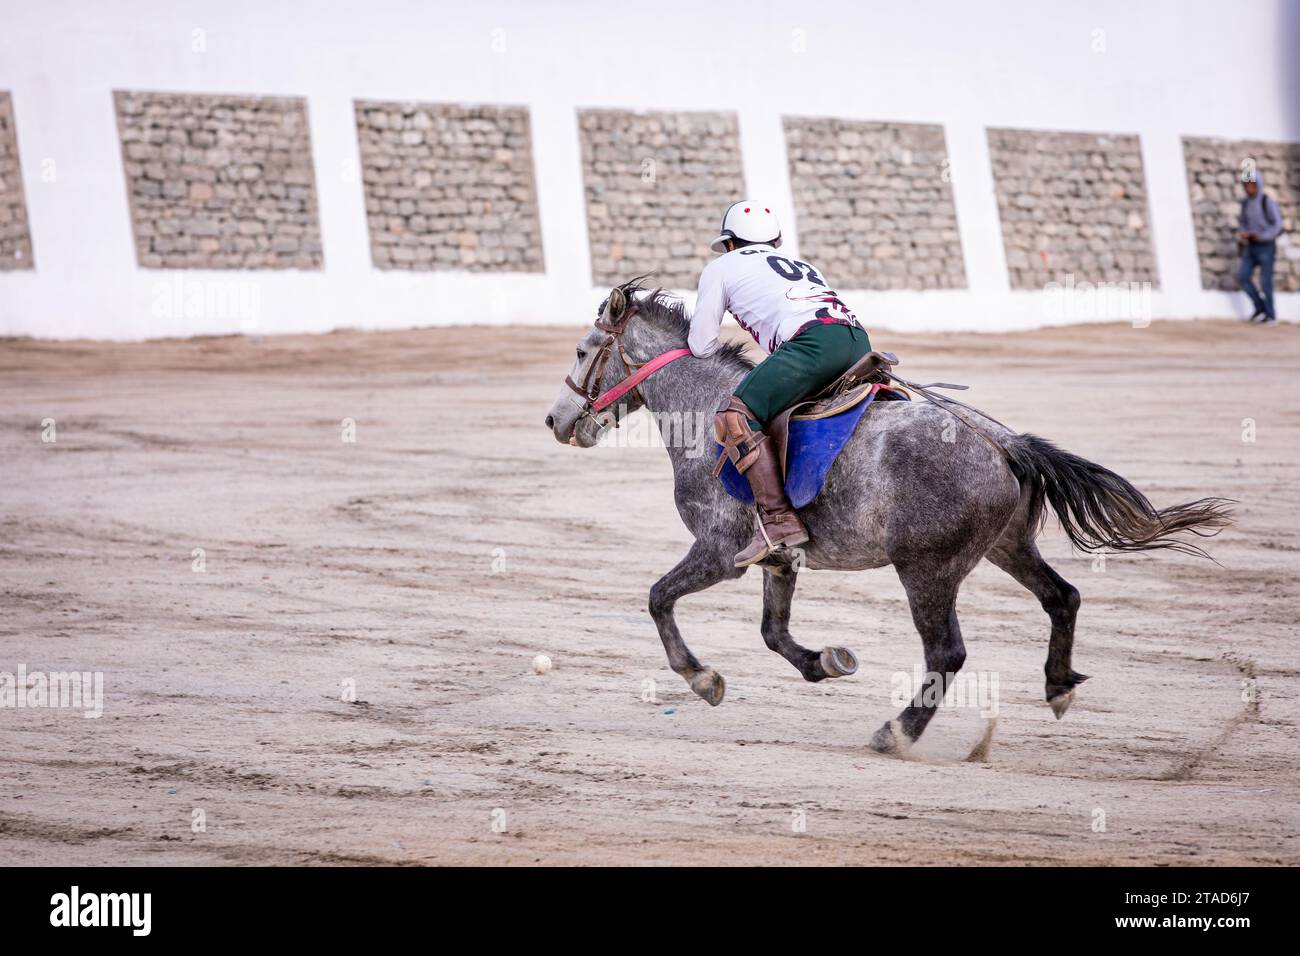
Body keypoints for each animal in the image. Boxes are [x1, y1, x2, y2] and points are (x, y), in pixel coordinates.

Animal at [543, 280, 1232, 759]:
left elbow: (659, 599)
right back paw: (1057, 685)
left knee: (948, 652)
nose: (554, 420)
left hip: (927, 569)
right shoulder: (778, 558)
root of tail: (1005, 444)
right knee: (1062, 598)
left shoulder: (717, 552)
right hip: (1008, 547)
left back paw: (896, 732)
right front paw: (823, 662)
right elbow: (773, 632)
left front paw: (702, 677)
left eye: (581, 350)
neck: (703, 407)